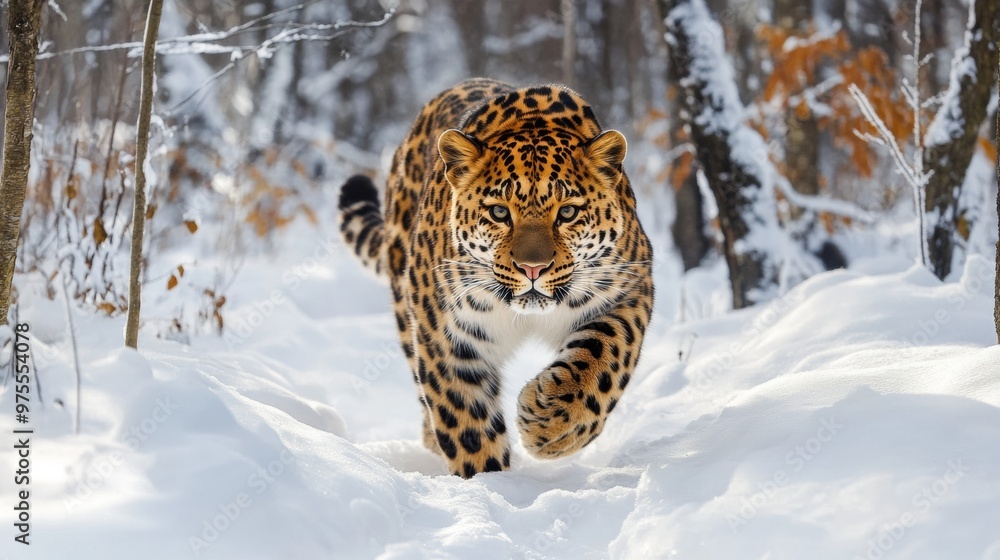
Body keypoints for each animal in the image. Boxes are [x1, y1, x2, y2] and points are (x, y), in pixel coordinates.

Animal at [342, 79, 656, 480]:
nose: (533, 268)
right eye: (499, 213)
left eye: (568, 212)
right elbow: (467, 421)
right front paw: (488, 482)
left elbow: (605, 357)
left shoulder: (629, 288)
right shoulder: (448, 337)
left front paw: (552, 425)